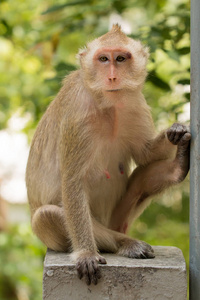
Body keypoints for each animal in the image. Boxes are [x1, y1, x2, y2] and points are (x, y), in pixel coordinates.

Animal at [25, 24, 191, 284]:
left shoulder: (135, 104)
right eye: (103, 59)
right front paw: (86, 254)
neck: (108, 103)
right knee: (47, 215)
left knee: (141, 178)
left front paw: (175, 131)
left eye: (121, 58)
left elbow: (145, 155)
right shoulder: (77, 113)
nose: (112, 76)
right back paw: (124, 243)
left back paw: (177, 169)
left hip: (118, 217)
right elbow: (72, 181)